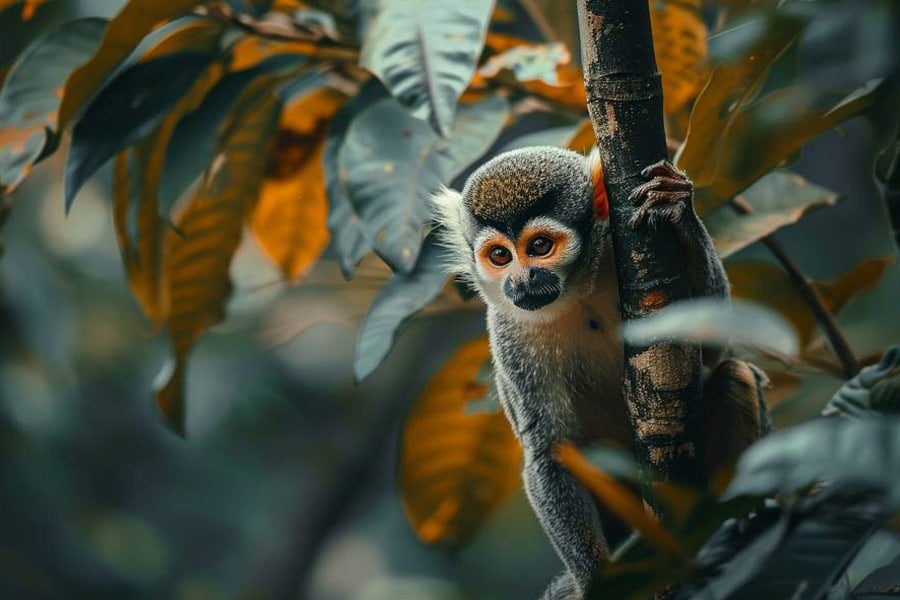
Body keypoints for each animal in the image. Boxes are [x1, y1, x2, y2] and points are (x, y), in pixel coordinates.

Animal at [431, 146, 771, 600]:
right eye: (500, 256)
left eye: (539, 246)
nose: (522, 279)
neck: (577, 293)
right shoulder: (508, 331)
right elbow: (552, 452)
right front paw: (598, 582)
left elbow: (713, 349)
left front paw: (678, 207)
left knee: (735, 373)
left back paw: (743, 516)